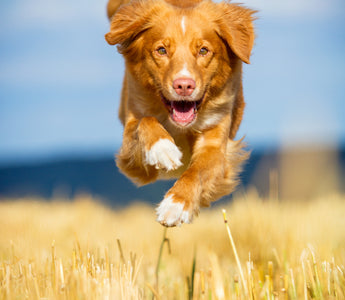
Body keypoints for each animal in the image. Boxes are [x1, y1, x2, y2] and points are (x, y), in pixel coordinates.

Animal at [105, 0, 255, 225]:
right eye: (161, 50)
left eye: (203, 50)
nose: (184, 85)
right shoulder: (133, 158)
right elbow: (145, 121)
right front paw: (163, 148)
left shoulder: (215, 142)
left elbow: (196, 172)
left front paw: (175, 204)